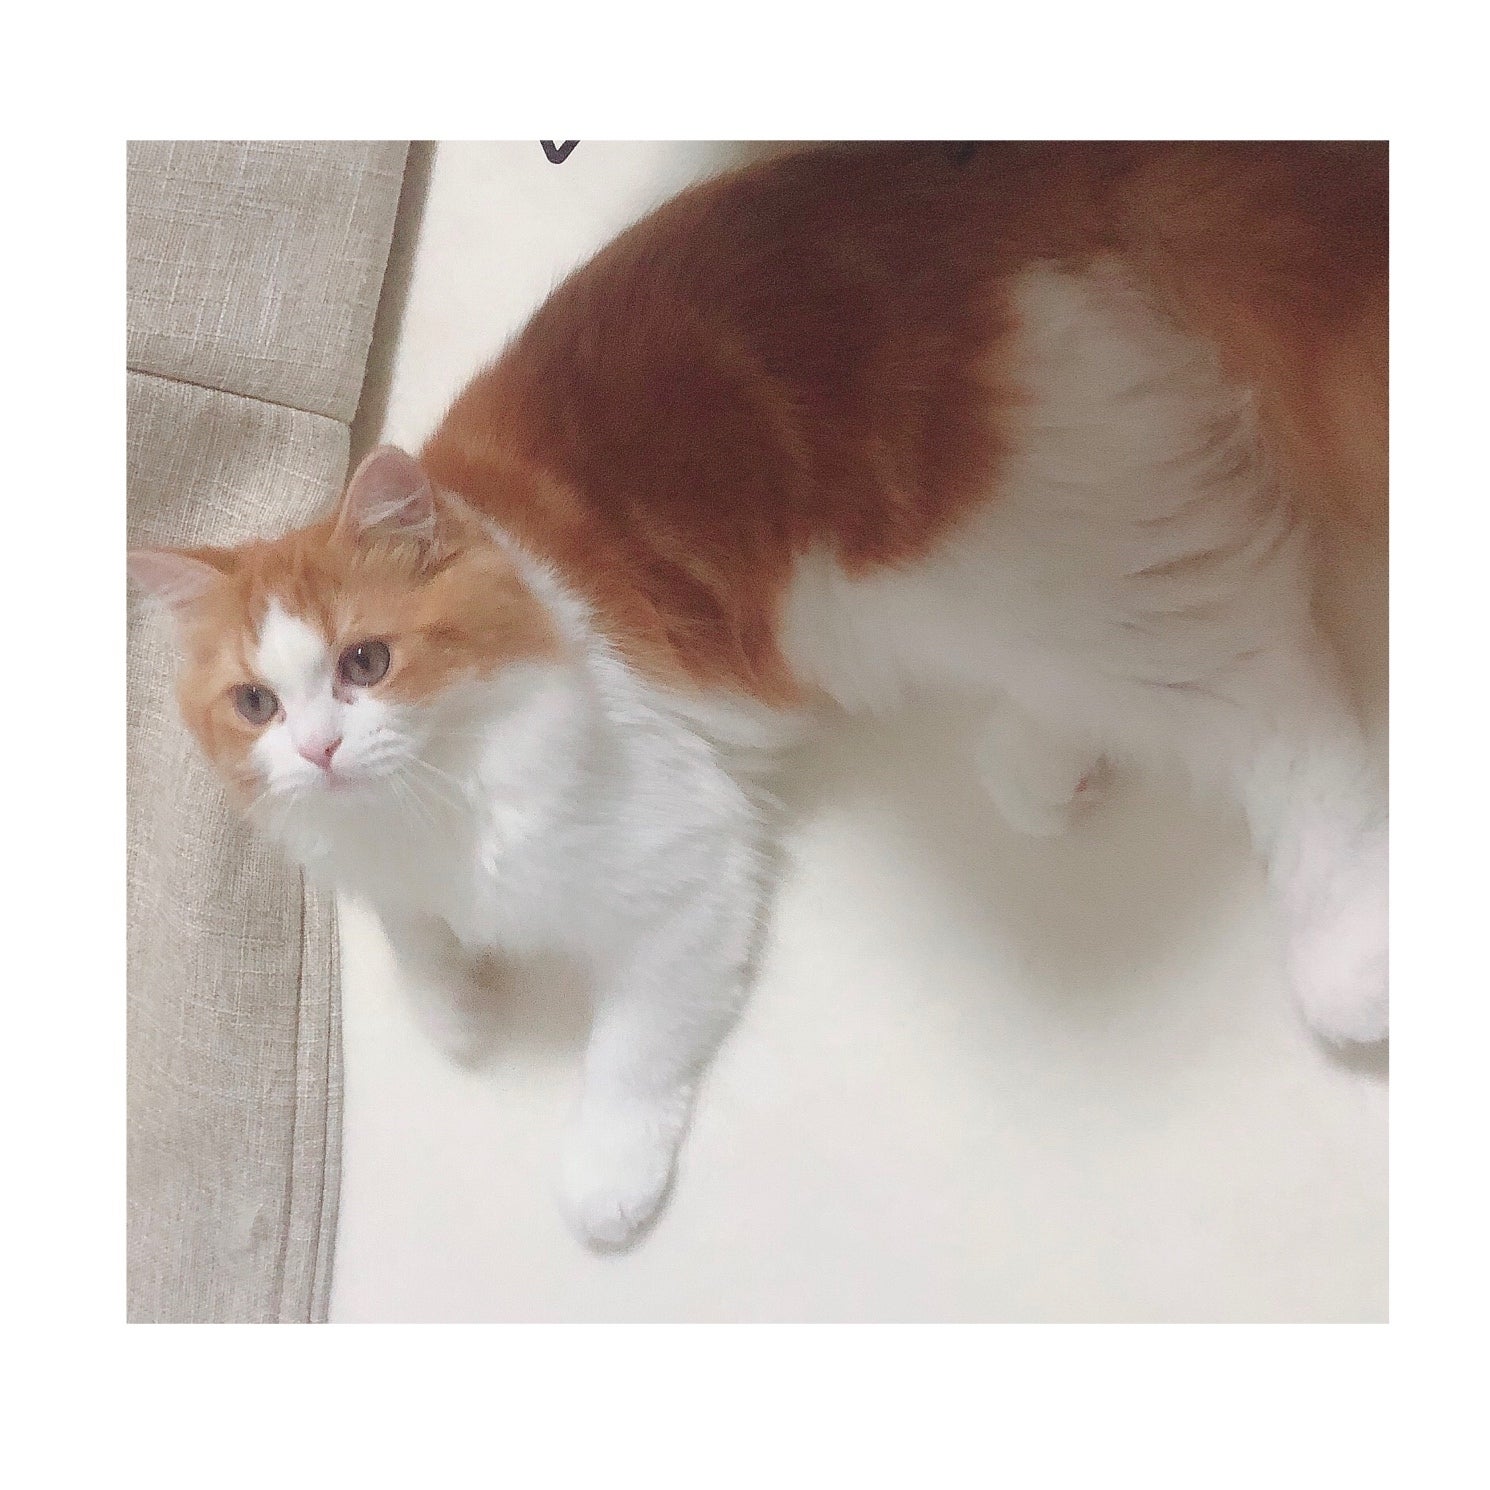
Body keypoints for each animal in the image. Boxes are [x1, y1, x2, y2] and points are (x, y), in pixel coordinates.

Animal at [129, 142, 1388, 1250]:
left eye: (366, 664)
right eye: (255, 704)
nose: (318, 750)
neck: (433, 797)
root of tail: (974, 173)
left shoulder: (680, 858)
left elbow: (631, 1048)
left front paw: (603, 1182)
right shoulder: (379, 863)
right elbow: (408, 932)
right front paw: (459, 1010)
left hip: (1000, 573)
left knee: (1276, 690)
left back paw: (1347, 965)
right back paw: (1044, 768)